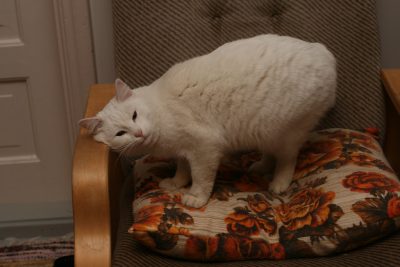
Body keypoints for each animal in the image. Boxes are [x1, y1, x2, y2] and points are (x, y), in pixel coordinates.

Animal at [79, 34, 336, 209]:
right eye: (120, 134)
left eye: (134, 115)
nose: (140, 133)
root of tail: (323, 51)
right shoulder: (183, 151)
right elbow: (183, 170)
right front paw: (176, 183)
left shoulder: (205, 148)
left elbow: (201, 178)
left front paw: (195, 197)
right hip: (266, 134)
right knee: (271, 155)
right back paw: (261, 167)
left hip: (285, 133)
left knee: (287, 159)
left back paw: (279, 183)